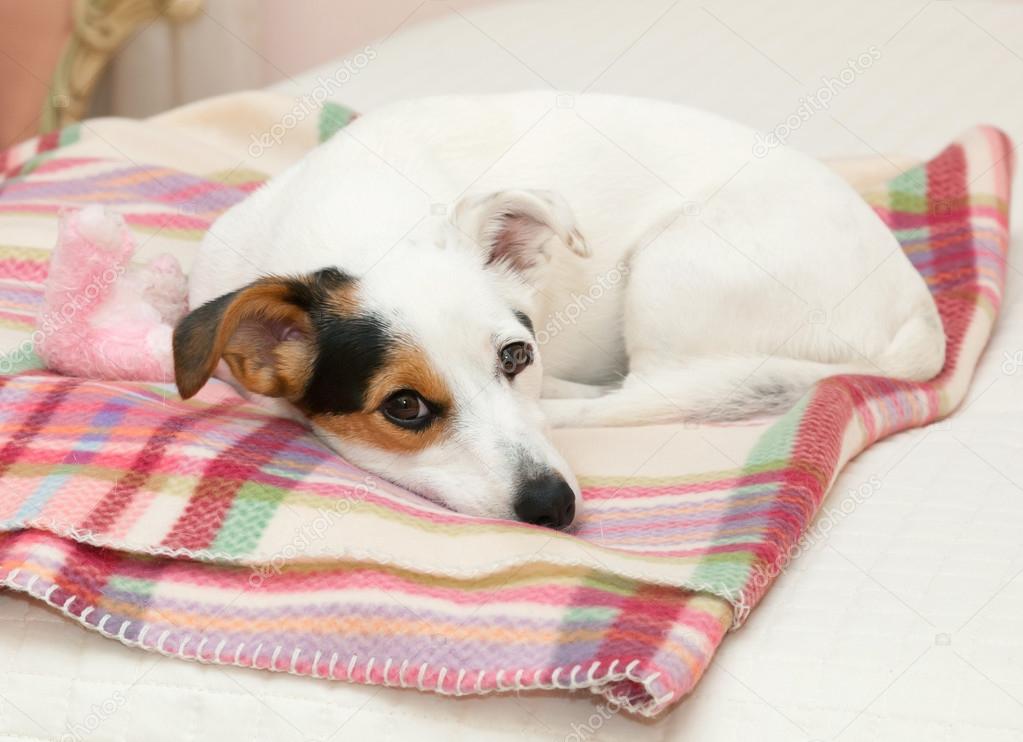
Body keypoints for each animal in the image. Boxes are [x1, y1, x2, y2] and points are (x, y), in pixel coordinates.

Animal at [173, 91, 941, 528]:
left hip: (673, 264)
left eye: (518, 356)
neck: (365, 221)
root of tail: (917, 318)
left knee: (647, 391)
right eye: (404, 407)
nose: (553, 506)